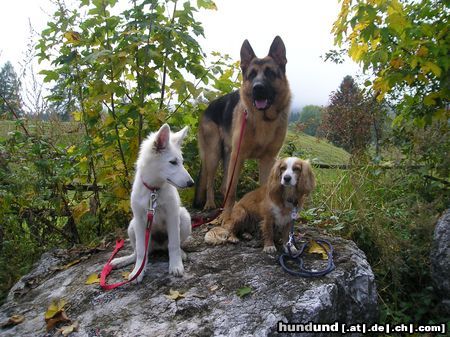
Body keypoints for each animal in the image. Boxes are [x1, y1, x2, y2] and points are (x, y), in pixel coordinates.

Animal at [111, 123, 195, 280]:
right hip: (132, 226)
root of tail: (159, 246)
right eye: (173, 162)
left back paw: (181, 253)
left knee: (172, 245)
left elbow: (174, 244)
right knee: (140, 252)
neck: (154, 190)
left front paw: (175, 265)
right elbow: (141, 251)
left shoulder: (172, 215)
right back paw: (122, 260)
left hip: (184, 217)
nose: (191, 183)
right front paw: (138, 271)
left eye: (181, 162)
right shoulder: (139, 220)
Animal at [194, 35, 292, 223]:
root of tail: (208, 107)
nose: (257, 88)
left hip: (228, 157)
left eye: (270, 72)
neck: (263, 120)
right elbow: (231, 190)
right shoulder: (238, 157)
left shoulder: (267, 160)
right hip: (214, 155)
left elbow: (263, 190)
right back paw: (210, 204)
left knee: (224, 186)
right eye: (251, 75)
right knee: (211, 182)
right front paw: (226, 217)